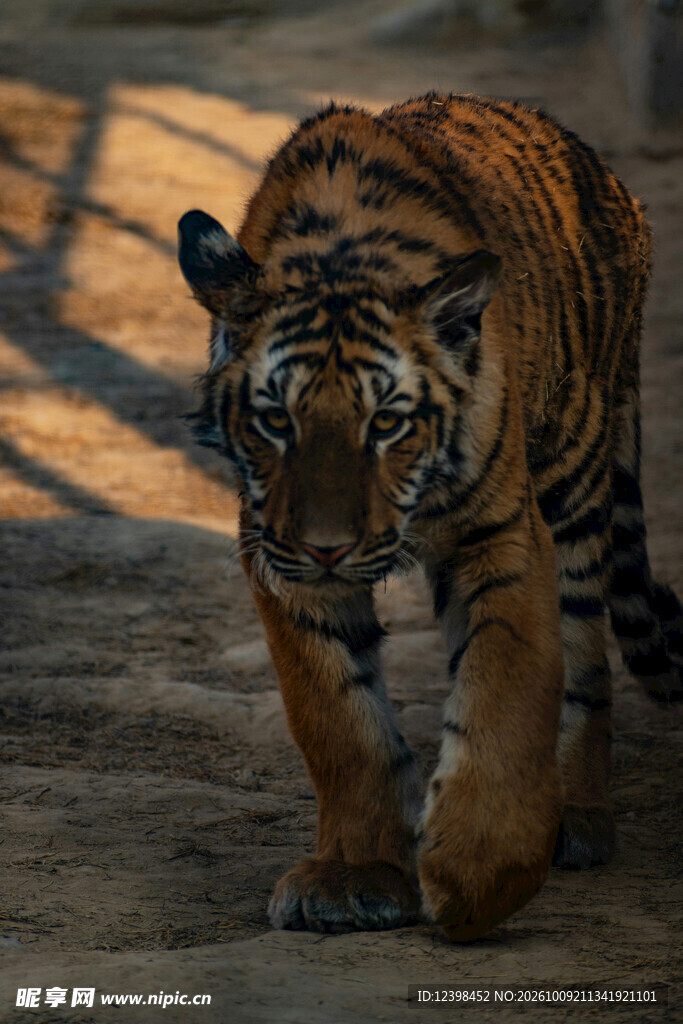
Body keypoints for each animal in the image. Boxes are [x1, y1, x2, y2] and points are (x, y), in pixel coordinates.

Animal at [177, 93, 682, 941]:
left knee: (585, 663)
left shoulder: (498, 532)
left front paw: (481, 875)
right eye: (276, 420)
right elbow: (338, 721)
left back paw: (576, 819)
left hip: (575, 482)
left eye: (386, 423)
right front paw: (351, 879)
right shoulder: (278, 557)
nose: (328, 548)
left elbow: (507, 687)